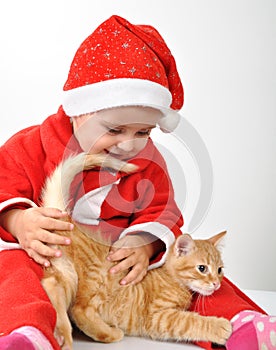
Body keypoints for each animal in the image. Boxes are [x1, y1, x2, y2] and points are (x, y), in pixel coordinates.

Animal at [40, 153, 231, 350]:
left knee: (51, 285)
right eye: (202, 268)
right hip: (97, 276)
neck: (173, 280)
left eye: (220, 270)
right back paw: (102, 334)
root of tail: (65, 219)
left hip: (65, 271)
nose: (216, 284)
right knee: (79, 309)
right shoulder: (157, 316)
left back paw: (62, 334)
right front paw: (219, 327)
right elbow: (189, 321)